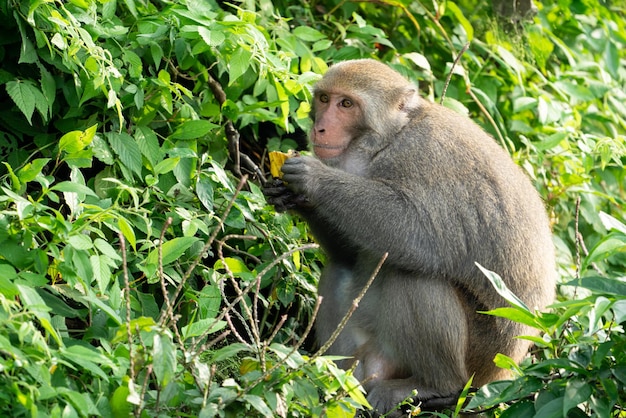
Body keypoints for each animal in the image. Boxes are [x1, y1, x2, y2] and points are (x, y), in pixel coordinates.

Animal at [260, 58, 552, 414]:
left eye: (347, 104)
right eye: (325, 99)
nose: (320, 129)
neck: (389, 139)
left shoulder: (424, 157)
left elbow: (417, 236)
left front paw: (314, 179)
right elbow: (348, 254)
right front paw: (292, 197)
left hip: (480, 358)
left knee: (414, 275)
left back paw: (436, 386)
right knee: (339, 269)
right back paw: (334, 380)